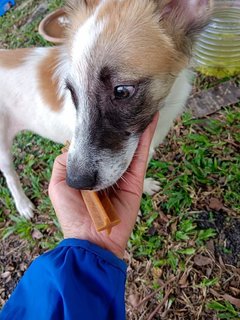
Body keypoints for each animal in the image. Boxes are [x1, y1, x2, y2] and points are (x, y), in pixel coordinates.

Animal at [0, 0, 211, 219]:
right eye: (72, 91)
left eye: (122, 91)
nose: (75, 183)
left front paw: (144, 186)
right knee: (9, 175)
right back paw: (23, 204)